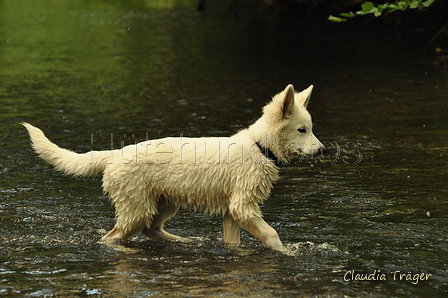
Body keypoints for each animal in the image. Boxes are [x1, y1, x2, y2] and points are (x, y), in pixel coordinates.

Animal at [22, 85, 326, 253]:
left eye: (310, 128)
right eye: (302, 130)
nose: (322, 150)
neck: (259, 146)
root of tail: (115, 154)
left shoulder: (232, 212)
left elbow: (233, 243)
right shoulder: (243, 206)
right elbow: (271, 233)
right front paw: (287, 253)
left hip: (164, 202)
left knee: (152, 230)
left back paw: (183, 241)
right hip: (136, 208)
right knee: (112, 237)